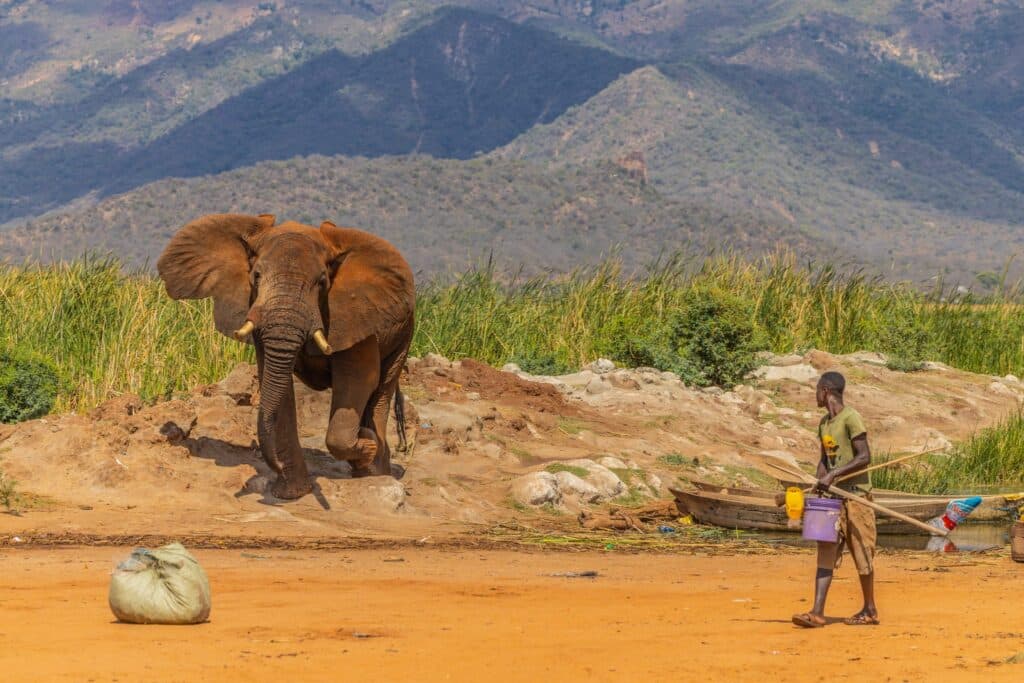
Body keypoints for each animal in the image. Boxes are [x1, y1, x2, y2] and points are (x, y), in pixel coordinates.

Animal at [157, 213, 415, 500]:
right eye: (256, 276)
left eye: (322, 282)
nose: (276, 466)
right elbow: (277, 385)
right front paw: (291, 494)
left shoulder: (353, 315)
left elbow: (358, 380)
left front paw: (367, 443)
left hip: (404, 332)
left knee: (382, 389)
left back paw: (374, 470)